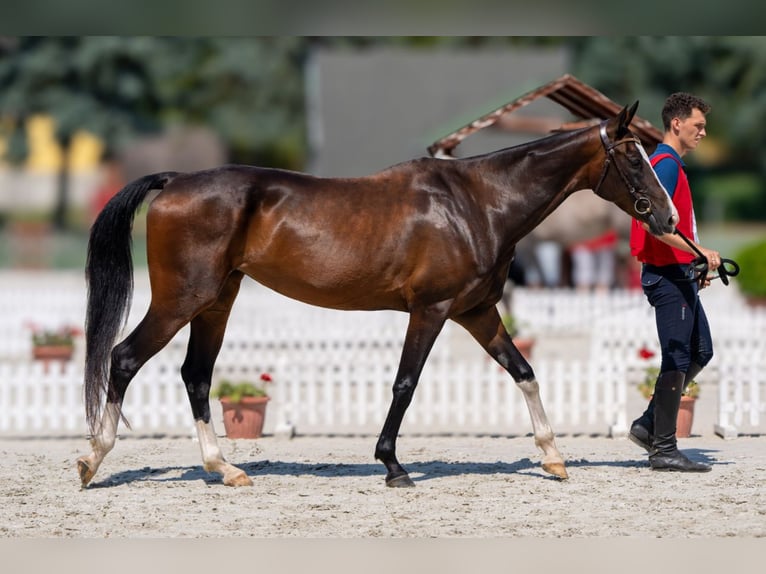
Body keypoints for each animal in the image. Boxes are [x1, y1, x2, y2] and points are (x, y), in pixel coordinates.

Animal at [78, 103, 680, 490]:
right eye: (633, 158)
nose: (670, 218)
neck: (477, 202)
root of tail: (175, 180)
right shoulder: (431, 310)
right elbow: (405, 383)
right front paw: (392, 466)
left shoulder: (476, 312)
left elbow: (525, 371)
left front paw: (553, 458)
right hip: (181, 301)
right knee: (124, 358)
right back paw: (92, 461)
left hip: (215, 304)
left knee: (196, 376)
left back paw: (225, 469)